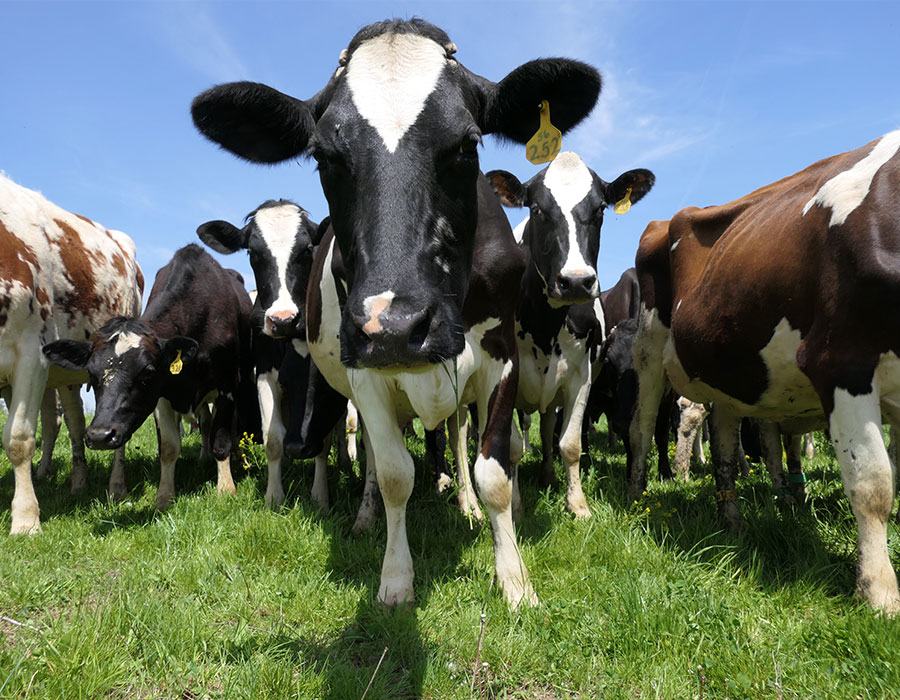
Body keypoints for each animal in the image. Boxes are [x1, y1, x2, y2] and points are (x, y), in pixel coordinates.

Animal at [0, 172, 142, 532]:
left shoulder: (31, 354)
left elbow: (19, 438)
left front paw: (26, 520)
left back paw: (116, 486)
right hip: (65, 374)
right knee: (74, 424)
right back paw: (76, 481)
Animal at [45, 245, 256, 508]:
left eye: (147, 372)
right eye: (91, 374)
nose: (100, 436)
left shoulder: (226, 385)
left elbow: (221, 439)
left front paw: (226, 488)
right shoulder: (163, 395)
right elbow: (168, 447)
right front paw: (164, 496)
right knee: (205, 424)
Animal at [190, 16, 600, 608]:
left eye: (468, 144)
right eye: (323, 156)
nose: (397, 327)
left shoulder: (502, 357)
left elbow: (494, 470)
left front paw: (515, 582)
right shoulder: (364, 366)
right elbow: (391, 475)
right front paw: (395, 578)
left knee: (455, 440)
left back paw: (464, 506)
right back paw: (364, 517)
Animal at [486, 150, 652, 516]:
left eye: (601, 209)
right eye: (537, 209)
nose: (576, 281)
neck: (544, 325)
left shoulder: (581, 374)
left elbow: (571, 443)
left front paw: (577, 505)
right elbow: (511, 446)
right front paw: (515, 505)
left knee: (549, 426)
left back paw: (548, 474)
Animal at [628, 130, 900, 612]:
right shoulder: (842, 363)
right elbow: (873, 485)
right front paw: (879, 591)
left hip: (725, 366)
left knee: (723, 443)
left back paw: (732, 517)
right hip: (648, 349)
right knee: (642, 426)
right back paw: (638, 499)